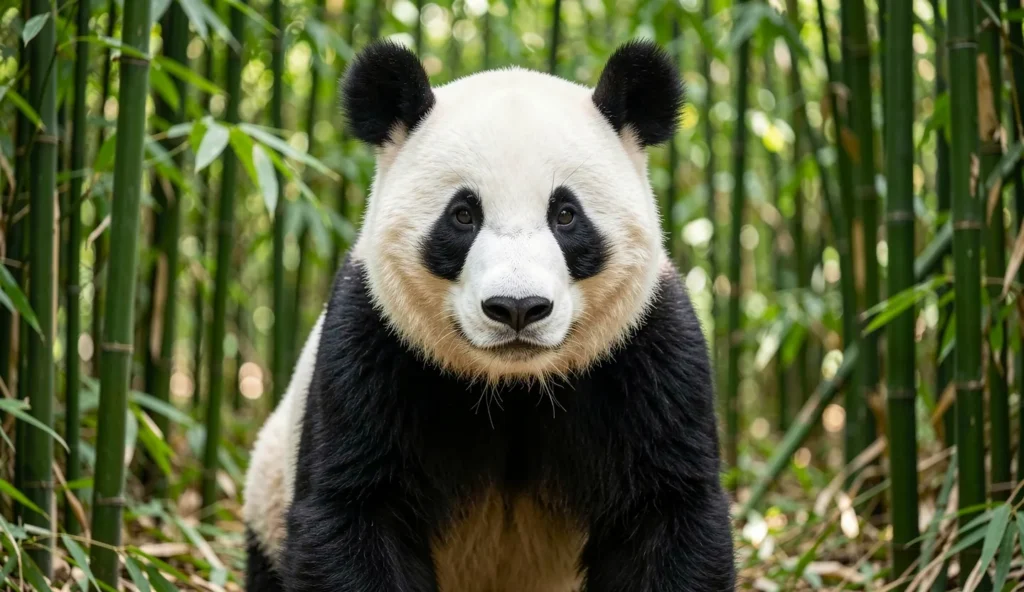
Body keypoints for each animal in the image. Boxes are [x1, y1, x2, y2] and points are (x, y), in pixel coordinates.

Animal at [242, 38, 736, 591]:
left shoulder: (644, 356)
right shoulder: (373, 346)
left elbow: (666, 513)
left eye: (566, 215)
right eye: (463, 215)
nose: (517, 307)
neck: (513, 386)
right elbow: (353, 511)